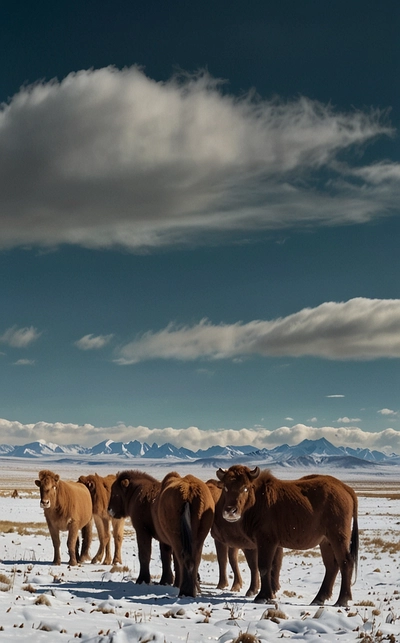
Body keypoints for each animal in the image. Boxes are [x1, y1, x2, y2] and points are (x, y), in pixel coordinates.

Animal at [216, 466, 360, 608]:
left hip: (338, 537)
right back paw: (319, 598)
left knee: (346, 562)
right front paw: (270, 594)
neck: (258, 499)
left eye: (245, 487)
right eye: (226, 487)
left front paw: (263, 596)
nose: (230, 510)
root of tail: (345, 489)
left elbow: (264, 567)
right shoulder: (272, 544)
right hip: (325, 541)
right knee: (331, 566)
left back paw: (342, 600)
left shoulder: (266, 541)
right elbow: (272, 567)